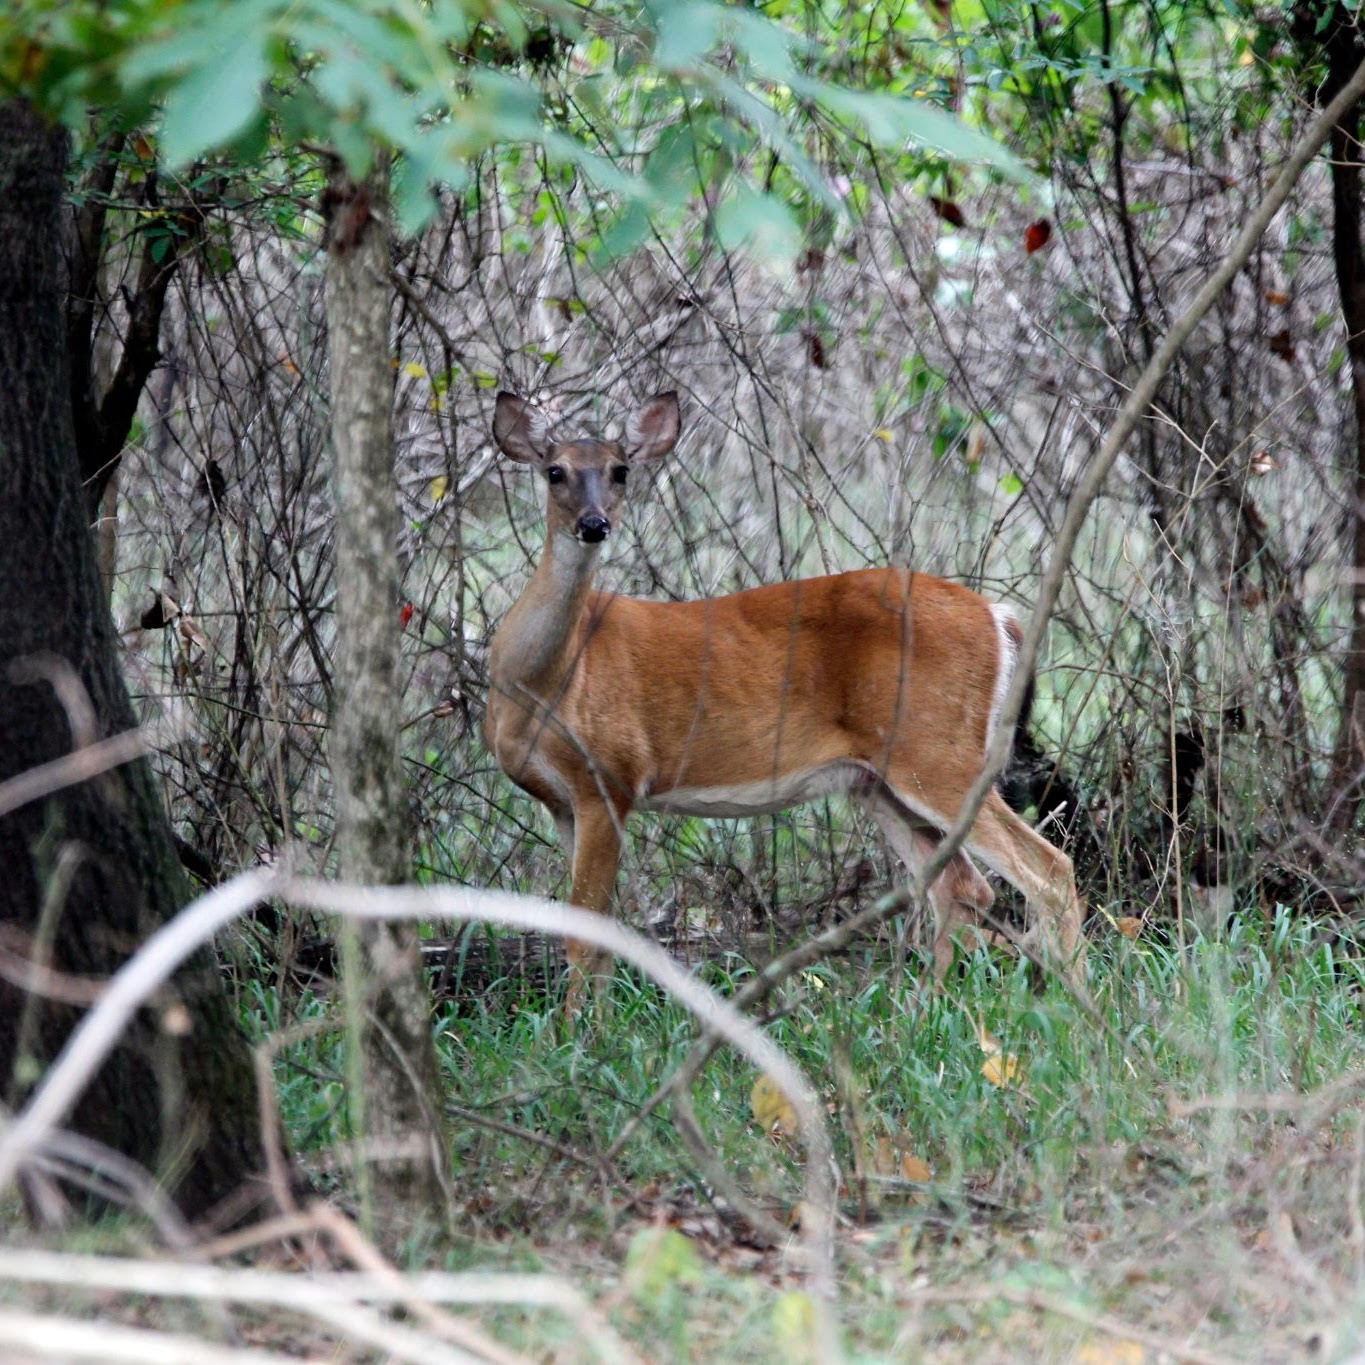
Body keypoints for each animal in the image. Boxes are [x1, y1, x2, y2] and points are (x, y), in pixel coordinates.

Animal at [484, 391, 1087, 1014]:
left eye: (620, 470)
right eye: (555, 471)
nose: (594, 523)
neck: (543, 679)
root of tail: (1000, 616)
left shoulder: (610, 777)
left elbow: (587, 937)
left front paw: (581, 1030)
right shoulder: (565, 802)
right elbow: (596, 933)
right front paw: (592, 1027)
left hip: (937, 750)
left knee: (1046, 868)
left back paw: (1077, 1006)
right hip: (877, 781)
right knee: (958, 885)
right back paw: (930, 1008)